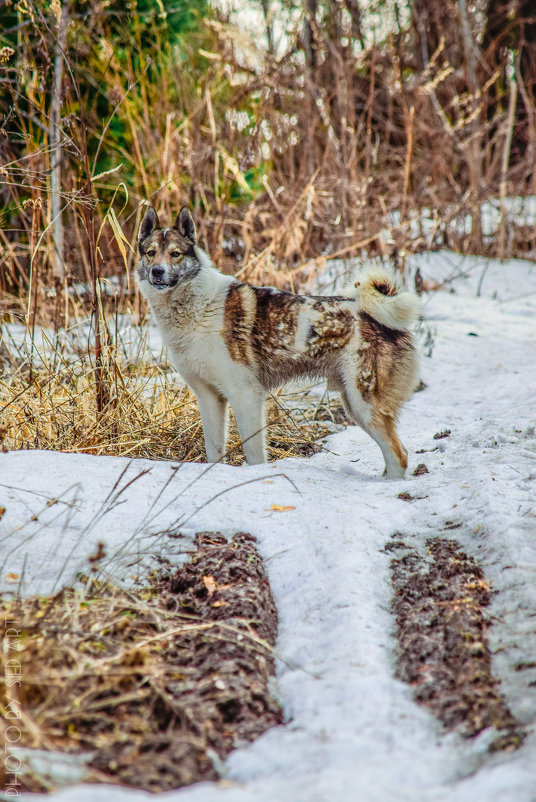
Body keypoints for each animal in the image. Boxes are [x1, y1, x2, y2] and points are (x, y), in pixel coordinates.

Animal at [134, 205, 418, 476]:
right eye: (150, 253)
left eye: (175, 254)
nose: (157, 271)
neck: (195, 307)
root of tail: (376, 317)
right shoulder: (209, 398)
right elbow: (214, 451)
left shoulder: (246, 395)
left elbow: (254, 454)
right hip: (354, 405)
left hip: (364, 404)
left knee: (399, 456)